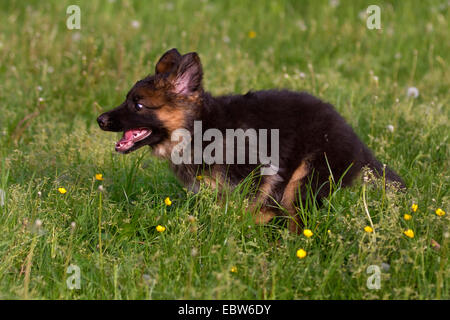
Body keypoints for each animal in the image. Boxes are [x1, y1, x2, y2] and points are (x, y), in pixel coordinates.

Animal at [97, 48, 404, 232]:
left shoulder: (259, 172)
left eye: (138, 105)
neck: (198, 129)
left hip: (303, 180)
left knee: (298, 220)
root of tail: (357, 143)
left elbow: (242, 209)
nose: (99, 119)